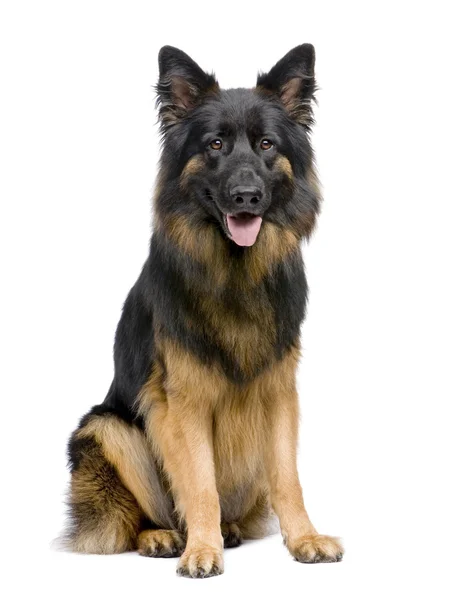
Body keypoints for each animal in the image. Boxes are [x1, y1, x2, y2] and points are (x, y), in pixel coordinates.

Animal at [66, 43, 344, 576]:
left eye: (266, 145)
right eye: (215, 145)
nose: (246, 197)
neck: (237, 274)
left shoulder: (279, 392)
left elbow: (288, 477)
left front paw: (304, 538)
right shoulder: (182, 400)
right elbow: (199, 482)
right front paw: (201, 549)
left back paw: (228, 530)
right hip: (107, 427)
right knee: (142, 514)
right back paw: (164, 536)